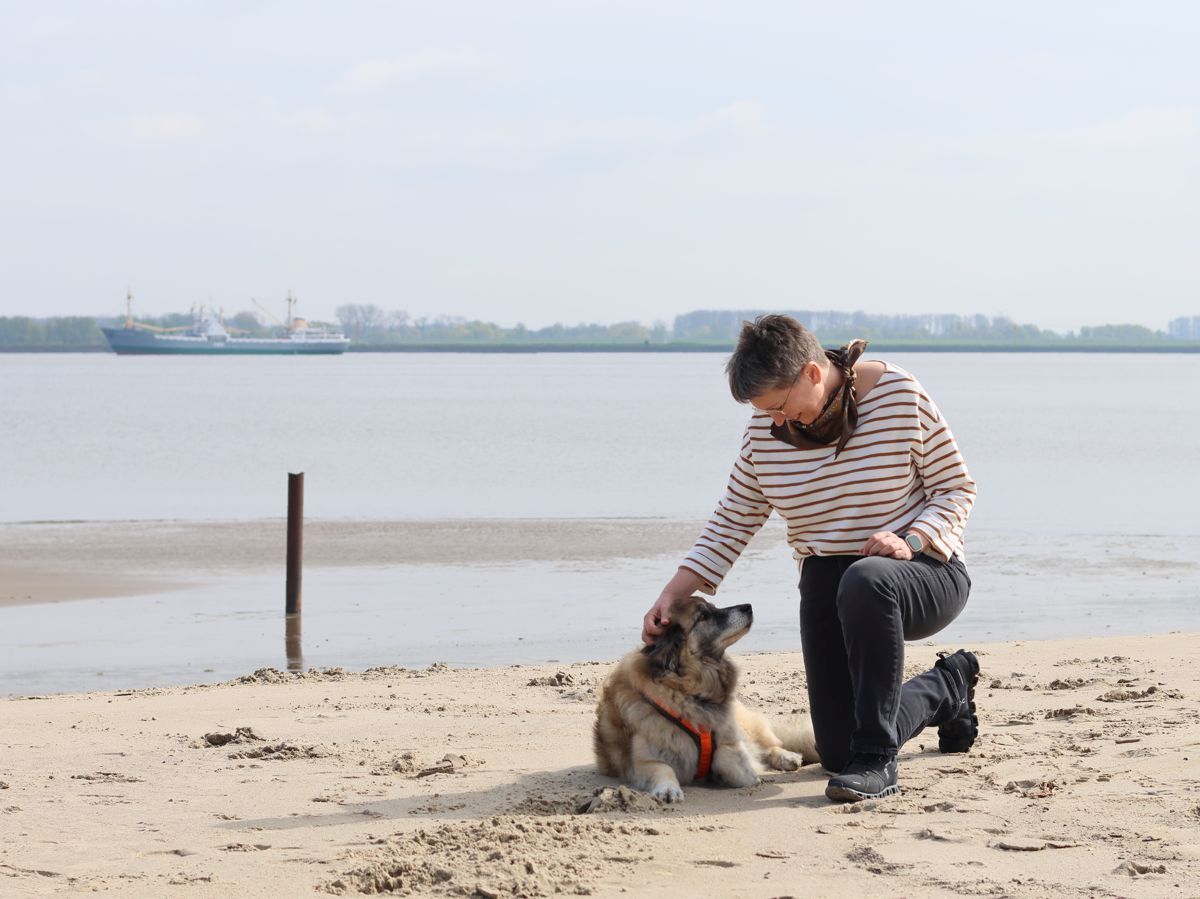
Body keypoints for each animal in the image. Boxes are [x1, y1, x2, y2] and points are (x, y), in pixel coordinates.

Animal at [592, 595, 820, 801]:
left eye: (714, 606)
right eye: (702, 616)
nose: (748, 607)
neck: (688, 692)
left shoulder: (731, 742)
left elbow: (734, 762)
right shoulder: (645, 761)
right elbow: (664, 770)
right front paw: (668, 789)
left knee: (769, 743)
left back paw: (787, 756)